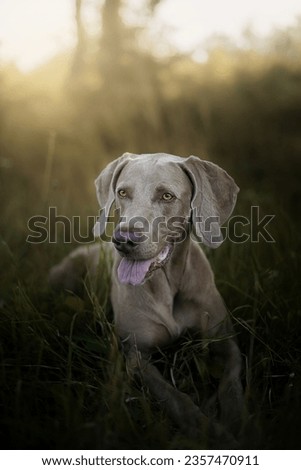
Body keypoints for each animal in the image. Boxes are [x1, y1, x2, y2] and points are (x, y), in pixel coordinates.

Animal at [50, 154, 244, 448]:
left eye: (167, 196)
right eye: (122, 193)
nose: (124, 239)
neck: (168, 284)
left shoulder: (226, 342)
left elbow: (232, 383)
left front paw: (238, 422)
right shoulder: (137, 356)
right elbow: (176, 398)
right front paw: (211, 431)